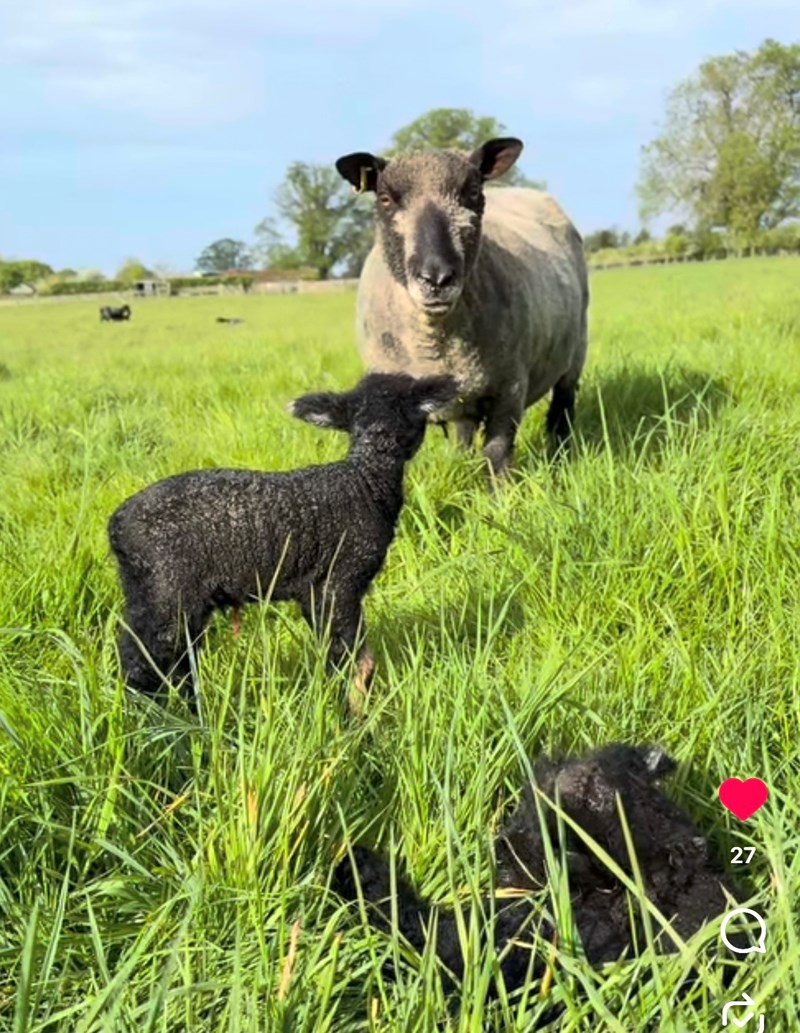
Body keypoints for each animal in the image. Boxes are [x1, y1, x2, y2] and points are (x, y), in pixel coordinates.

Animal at [107, 371, 459, 713]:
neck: (365, 479)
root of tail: (116, 524)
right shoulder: (341, 580)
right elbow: (356, 661)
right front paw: (357, 718)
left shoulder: (314, 593)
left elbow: (333, 655)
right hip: (168, 590)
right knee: (143, 659)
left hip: (145, 591)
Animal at [334, 138, 589, 480]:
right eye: (385, 199)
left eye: (472, 192)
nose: (437, 277)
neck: (437, 342)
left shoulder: (509, 388)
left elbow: (497, 454)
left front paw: (502, 494)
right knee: (464, 432)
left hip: (576, 348)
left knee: (562, 407)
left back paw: (561, 454)